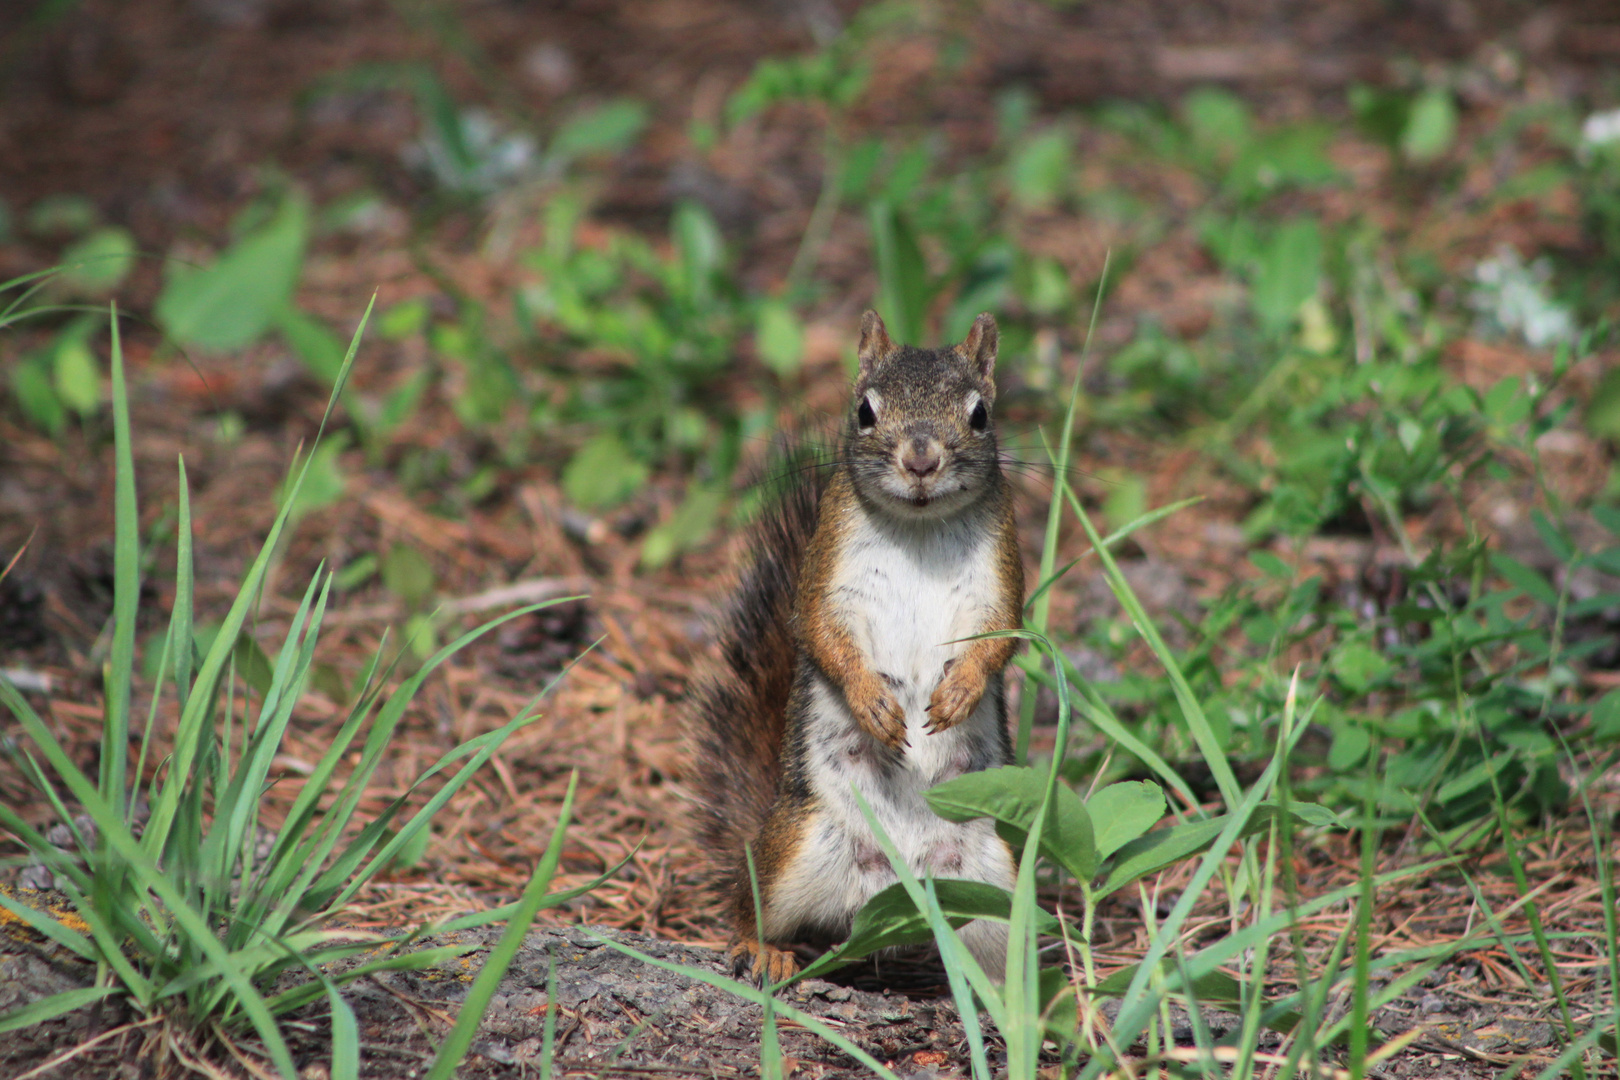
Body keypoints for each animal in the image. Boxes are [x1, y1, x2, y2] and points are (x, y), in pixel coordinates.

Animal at [686, 307, 1023, 984]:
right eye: (865, 411)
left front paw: (960, 692)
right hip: (795, 850)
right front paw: (872, 702)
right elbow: (817, 629)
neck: (919, 526)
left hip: (990, 881)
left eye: (979, 415)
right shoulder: (826, 563)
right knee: (749, 903)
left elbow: (1002, 637)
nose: (920, 458)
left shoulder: (1003, 566)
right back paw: (760, 948)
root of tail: (890, 899)